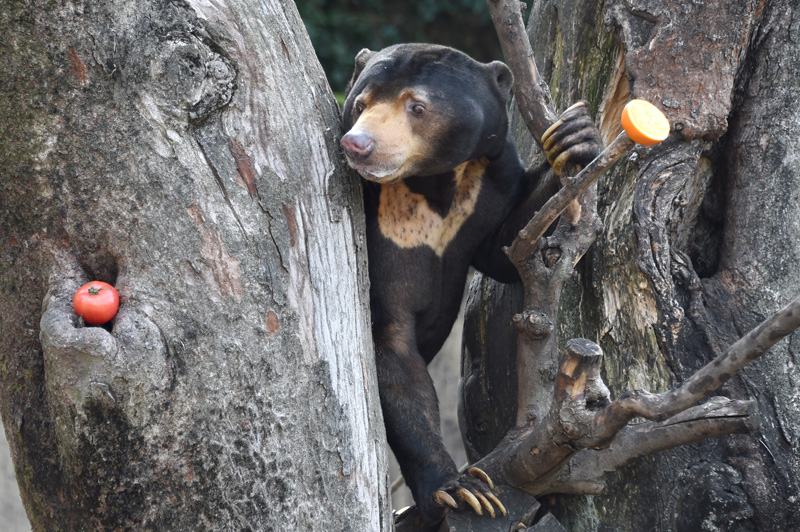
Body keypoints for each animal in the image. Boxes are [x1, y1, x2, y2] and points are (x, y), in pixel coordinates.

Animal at [340, 44, 604, 524]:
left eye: (418, 107)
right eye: (361, 104)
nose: (357, 145)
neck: (431, 183)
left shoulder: (489, 183)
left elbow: (507, 248)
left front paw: (573, 138)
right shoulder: (376, 225)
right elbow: (391, 343)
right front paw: (461, 489)